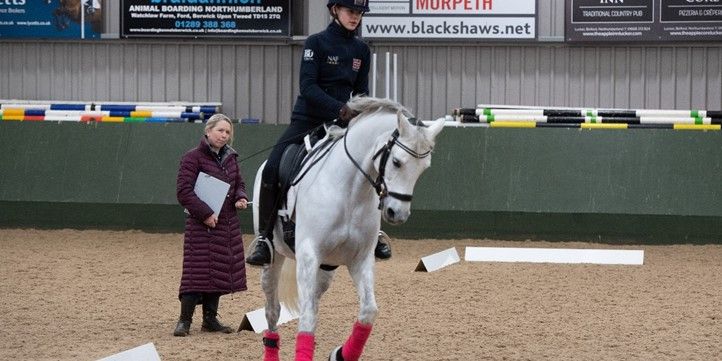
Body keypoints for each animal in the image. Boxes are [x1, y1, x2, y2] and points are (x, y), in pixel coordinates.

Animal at [253, 96, 444, 360]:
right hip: (275, 257)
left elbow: (368, 312)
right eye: (396, 162)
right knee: (273, 309)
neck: (351, 191)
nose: (398, 214)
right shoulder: (308, 255)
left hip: (327, 268)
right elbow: (306, 318)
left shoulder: (360, 259)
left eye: (424, 167)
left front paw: (340, 354)